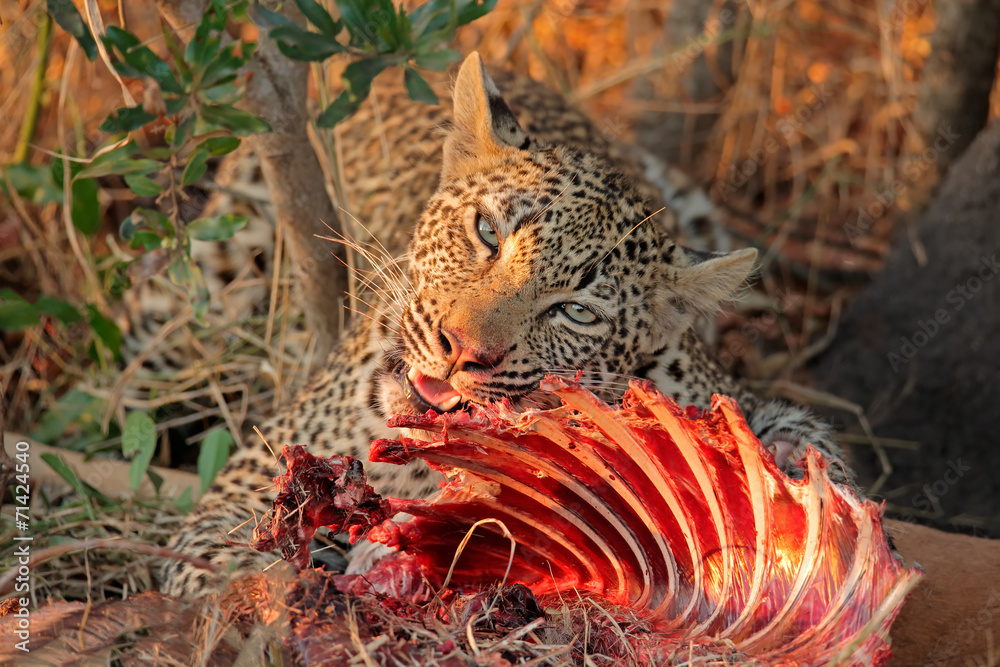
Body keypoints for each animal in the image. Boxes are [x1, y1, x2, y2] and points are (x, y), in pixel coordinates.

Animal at [160, 52, 856, 597]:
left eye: (576, 311)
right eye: (488, 233)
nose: (460, 351)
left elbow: (807, 441)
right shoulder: (246, 475)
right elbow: (227, 558)